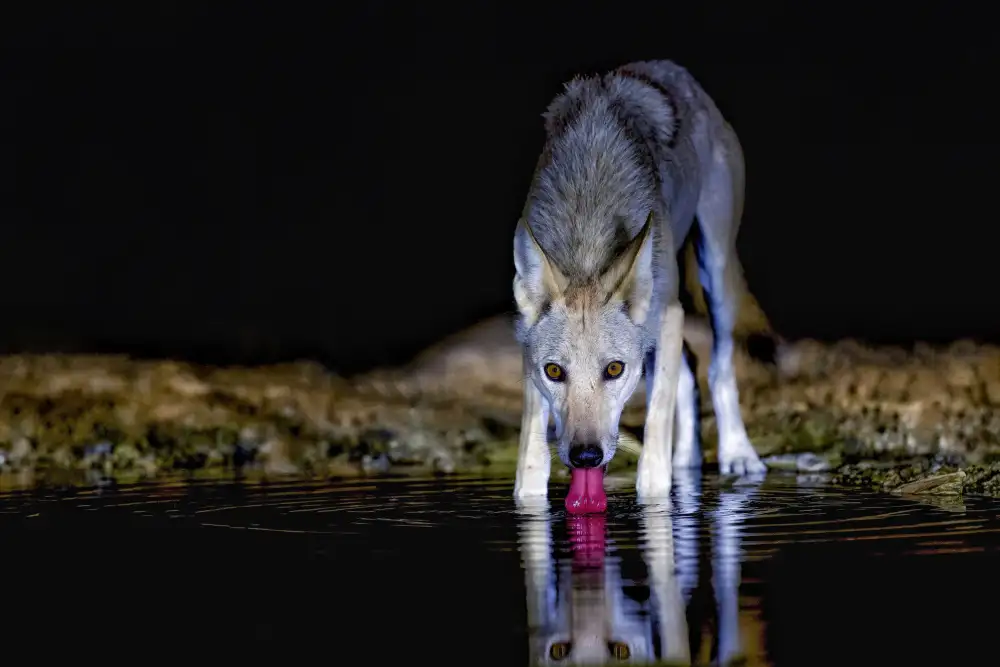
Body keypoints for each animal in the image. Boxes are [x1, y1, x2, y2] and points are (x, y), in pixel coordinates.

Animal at [512, 60, 766, 508]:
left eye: (614, 369)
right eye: (554, 371)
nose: (586, 456)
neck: (588, 235)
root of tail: (673, 71)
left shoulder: (668, 315)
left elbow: (652, 461)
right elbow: (529, 468)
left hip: (713, 274)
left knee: (718, 367)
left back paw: (738, 454)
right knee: (690, 368)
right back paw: (689, 460)